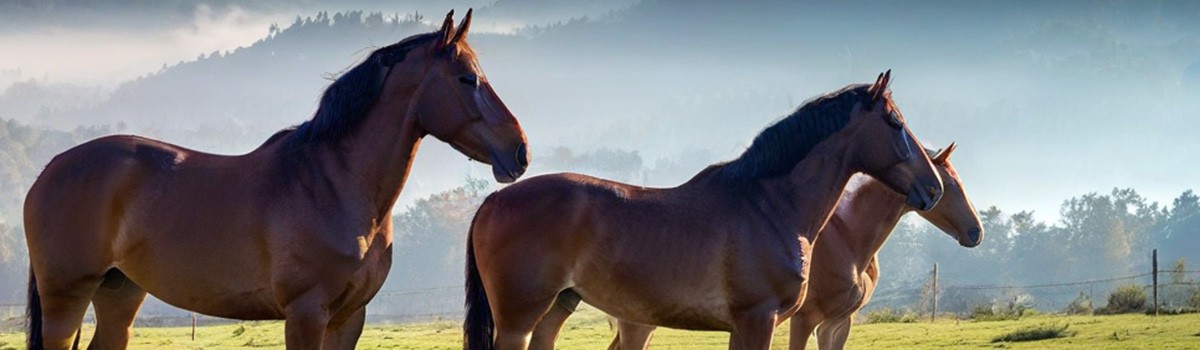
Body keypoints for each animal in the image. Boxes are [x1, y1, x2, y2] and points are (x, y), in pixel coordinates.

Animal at [24, 8, 525, 350]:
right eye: (466, 79)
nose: (519, 151)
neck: (334, 186)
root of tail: (50, 170)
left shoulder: (349, 318)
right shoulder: (305, 314)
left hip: (119, 292)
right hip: (65, 298)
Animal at [463, 71, 940, 350]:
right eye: (895, 123)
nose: (933, 187)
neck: (771, 207)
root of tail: (493, 200)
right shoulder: (757, 321)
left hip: (557, 307)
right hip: (518, 319)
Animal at [609, 142, 984, 350]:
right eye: (950, 185)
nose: (975, 232)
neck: (849, 242)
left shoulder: (837, 324)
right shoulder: (804, 320)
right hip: (639, 323)